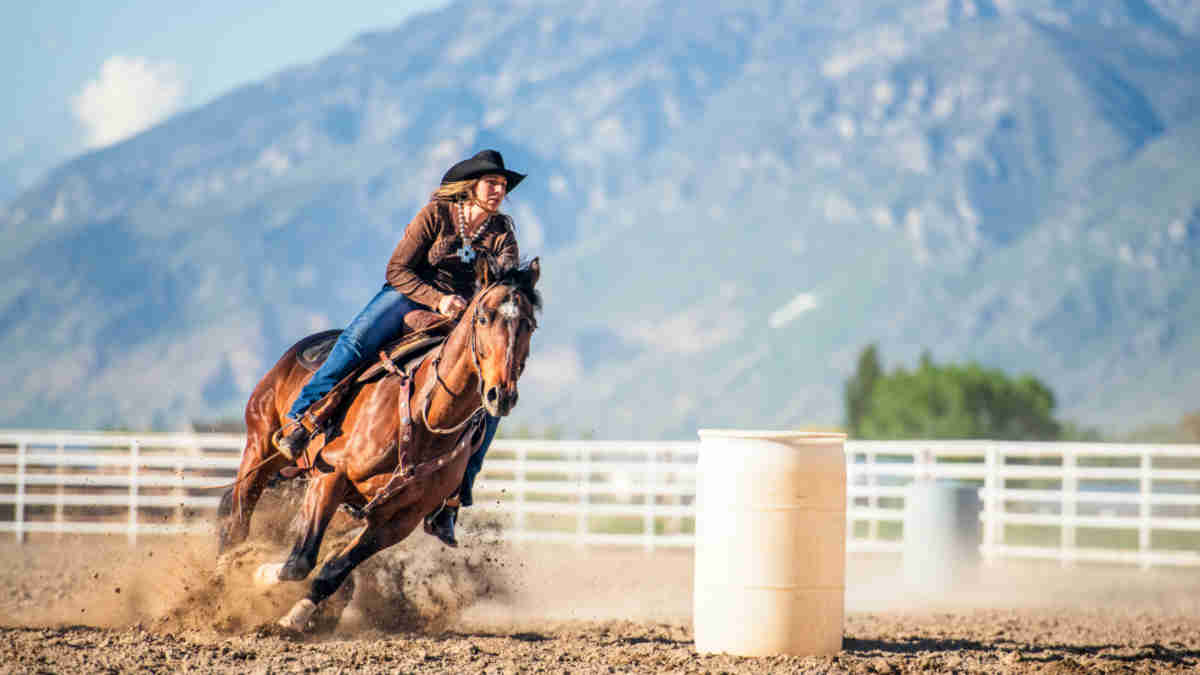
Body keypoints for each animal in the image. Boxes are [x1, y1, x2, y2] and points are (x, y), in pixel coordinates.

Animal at [214, 254, 540, 629]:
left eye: (529, 324)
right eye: (484, 318)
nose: (501, 394)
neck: (426, 418)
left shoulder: (399, 520)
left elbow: (334, 569)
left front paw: (296, 617)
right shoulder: (330, 477)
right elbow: (300, 560)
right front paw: (257, 575)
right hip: (260, 447)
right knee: (238, 521)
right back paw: (222, 574)